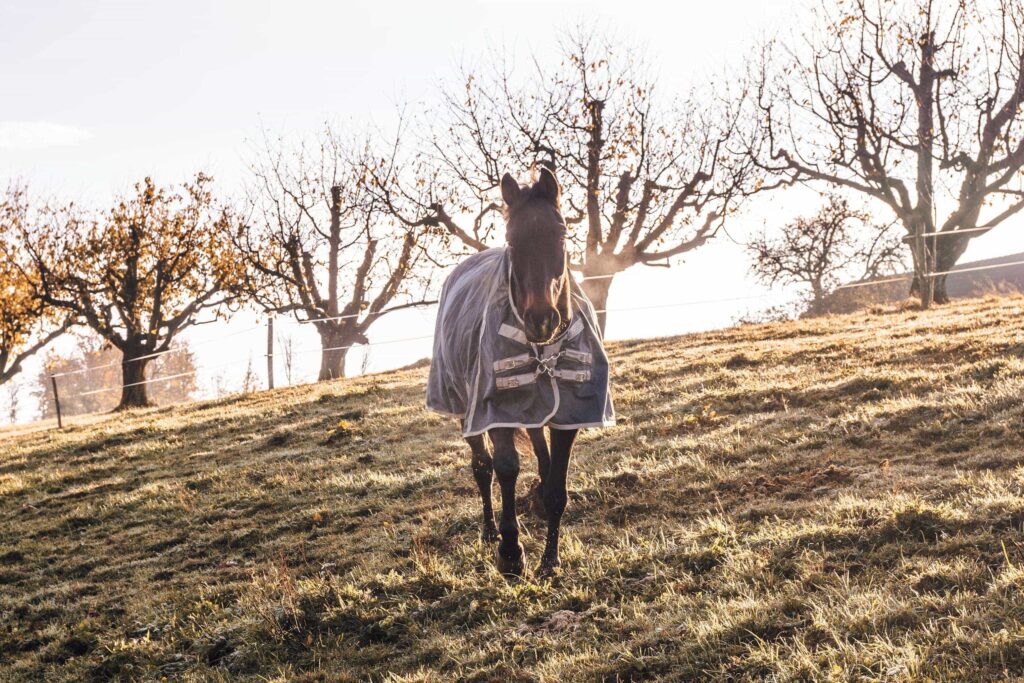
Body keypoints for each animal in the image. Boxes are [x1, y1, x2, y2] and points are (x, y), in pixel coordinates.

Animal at [427, 166, 615, 578]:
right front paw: (511, 553)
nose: (541, 319)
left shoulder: (568, 415)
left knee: (539, 454)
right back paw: (489, 531)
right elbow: (506, 468)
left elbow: (557, 485)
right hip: (465, 409)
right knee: (482, 468)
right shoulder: (495, 410)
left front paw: (550, 559)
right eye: (512, 241)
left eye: (561, 235)